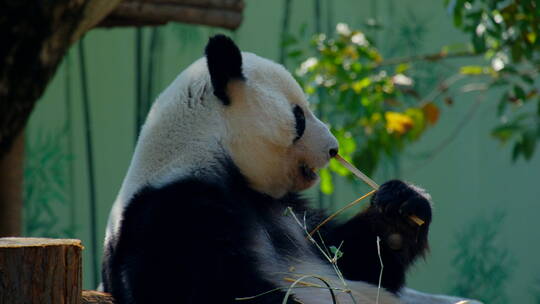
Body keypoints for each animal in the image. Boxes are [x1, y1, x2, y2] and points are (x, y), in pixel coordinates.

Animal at [103, 34, 436, 302]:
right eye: (299, 116)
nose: (333, 148)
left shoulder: (290, 211)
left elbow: (358, 260)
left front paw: (401, 207)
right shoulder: (169, 211)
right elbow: (201, 286)